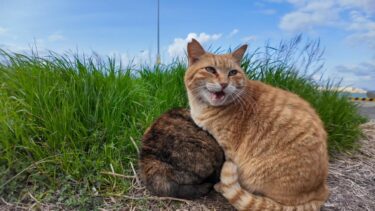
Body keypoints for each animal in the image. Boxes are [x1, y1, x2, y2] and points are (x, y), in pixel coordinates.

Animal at [185, 38, 328, 210]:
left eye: (232, 72)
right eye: (210, 69)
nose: (224, 83)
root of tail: (321, 190)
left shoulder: (229, 150)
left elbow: (223, 168)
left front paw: (220, 184)